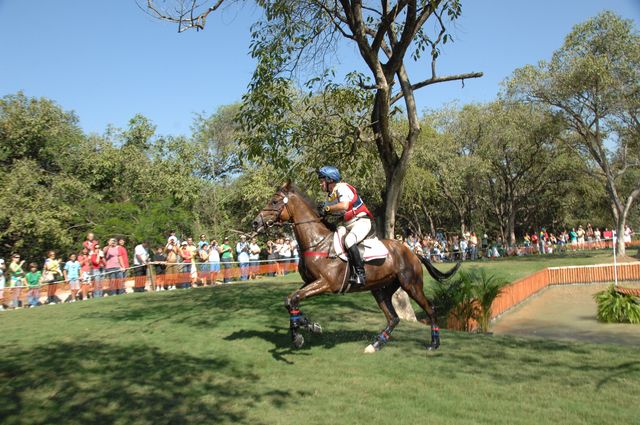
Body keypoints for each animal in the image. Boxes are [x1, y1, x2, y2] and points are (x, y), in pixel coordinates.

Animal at [252, 181, 460, 352]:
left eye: (274, 201)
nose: (255, 222)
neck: (317, 242)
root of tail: (413, 252)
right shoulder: (310, 282)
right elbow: (290, 300)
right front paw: (307, 326)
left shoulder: (325, 283)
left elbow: (293, 299)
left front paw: (299, 335)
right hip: (380, 290)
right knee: (393, 317)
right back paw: (376, 344)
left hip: (412, 285)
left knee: (430, 309)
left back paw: (434, 343)